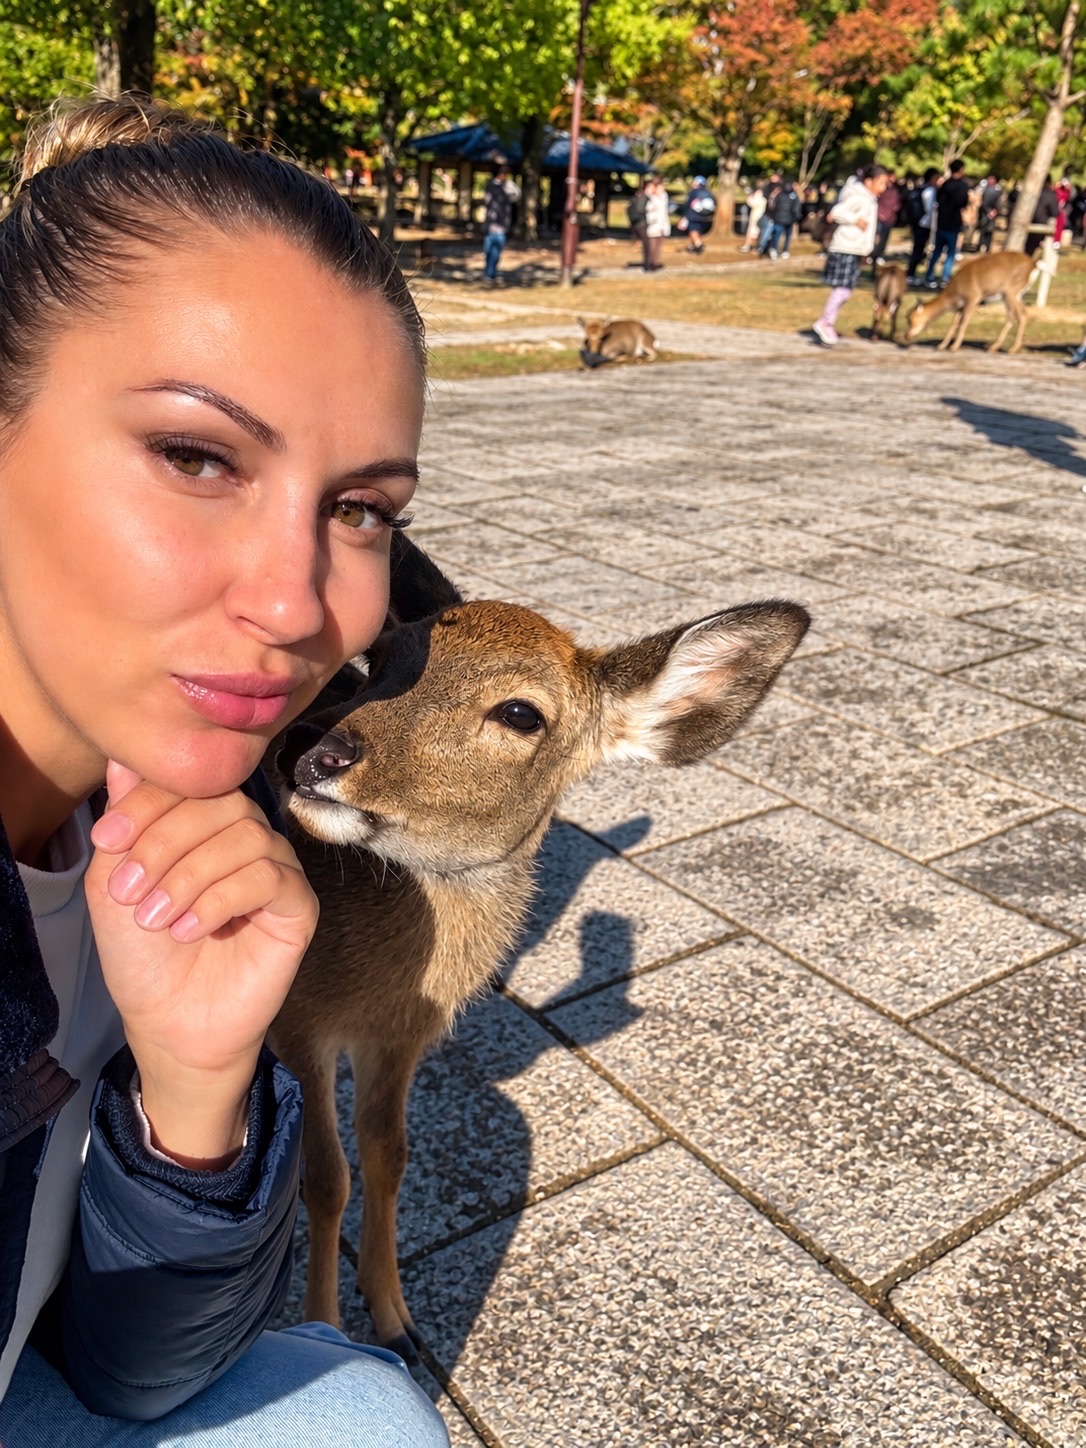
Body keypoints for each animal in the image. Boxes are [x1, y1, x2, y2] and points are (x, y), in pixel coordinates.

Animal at [267, 534, 809, 1361]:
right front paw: (323, 1328)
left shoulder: (399, 1036)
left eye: (521, 713)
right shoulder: (296, 1019)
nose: (312, 751)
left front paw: (395, 1320)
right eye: (381, 656)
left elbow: (388, 1155)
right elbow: (325, 1179)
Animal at [904, 250, 1039, 354]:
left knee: (1020, 315)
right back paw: (993, 347)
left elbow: (964, 323)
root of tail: (1033, 264)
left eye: (910, 318)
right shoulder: (960, 306)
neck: (954, 294)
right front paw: (941, 346)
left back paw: (1012, 349)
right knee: (1015, 315)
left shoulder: (973, 298)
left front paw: (954, 347)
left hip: (1010, 291)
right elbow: (953, 324)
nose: (906, 336)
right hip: (1016, 295)